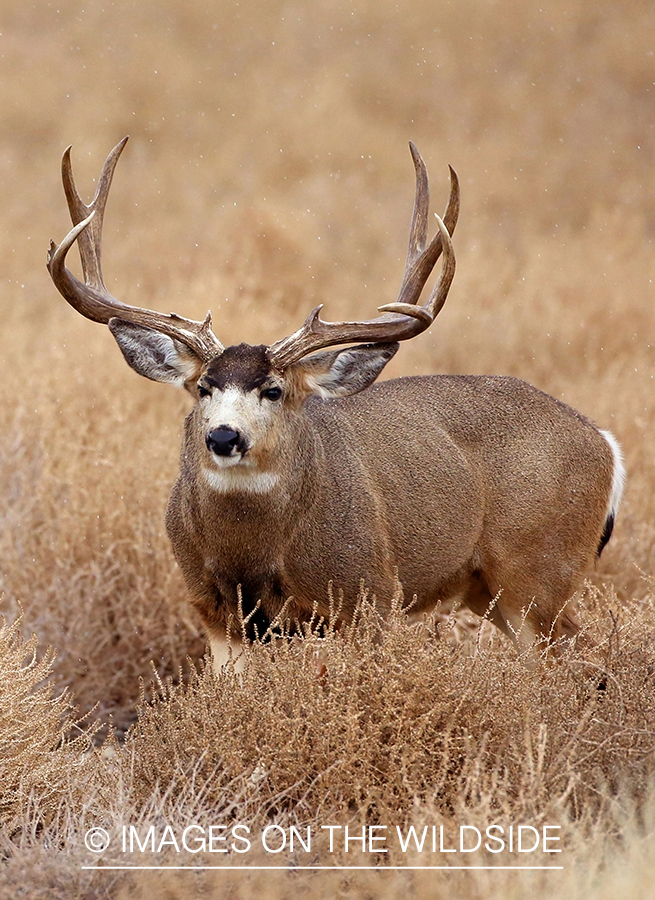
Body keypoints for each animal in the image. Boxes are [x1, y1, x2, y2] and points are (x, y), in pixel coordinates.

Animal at [47, 135, 624, 668]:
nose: (224, 436)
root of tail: (604, 442)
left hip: (537, 567)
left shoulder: (369, 595)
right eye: (203, 387)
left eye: (274, 390)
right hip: (489, 588)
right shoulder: (213, 611)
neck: (254, 558)